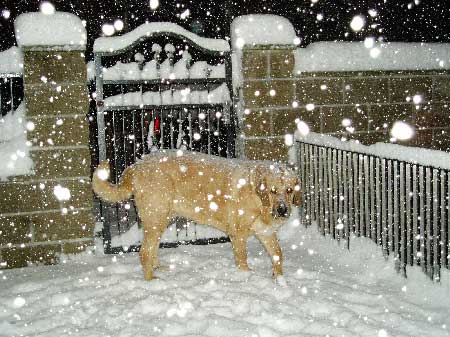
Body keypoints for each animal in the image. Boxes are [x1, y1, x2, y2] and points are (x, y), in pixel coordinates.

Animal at [92, 151, 300, 280]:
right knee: (144, 253)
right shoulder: (238, 234)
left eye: (289, 190)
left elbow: (278, 255)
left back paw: (158, 268)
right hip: (156, 218)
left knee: (151, 250)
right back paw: (152, 280)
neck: (259, 200)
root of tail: (136, 165)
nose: (282, 210)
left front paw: (279, 279)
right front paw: (246, 276)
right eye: (273, 191)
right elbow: (242, 260)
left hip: (160, 220)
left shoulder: (266, 233)